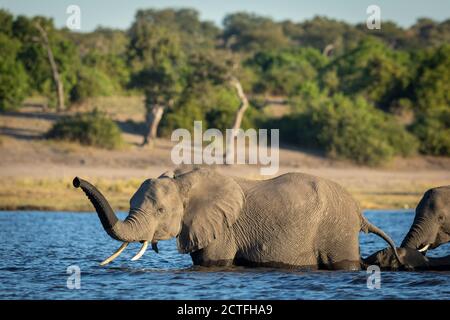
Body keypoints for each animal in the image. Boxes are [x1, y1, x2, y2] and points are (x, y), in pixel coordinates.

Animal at [74, 168, 400, 270]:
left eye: (160, 212)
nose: (76, 180)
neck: (185, 181)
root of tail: (359, 212)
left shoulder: (223, 230)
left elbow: (213, 262)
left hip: (337, 230)